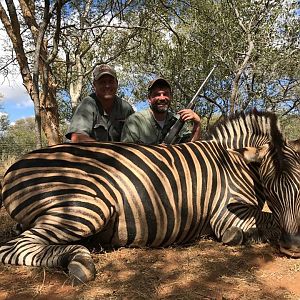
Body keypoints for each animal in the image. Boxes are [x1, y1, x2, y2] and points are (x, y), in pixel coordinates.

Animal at [0, 110, 298, 284]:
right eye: (271, 189)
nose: (292, 247)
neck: (234, 161)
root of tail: (14, 166)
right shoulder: (225, 215)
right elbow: (264, 222)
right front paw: (246, 236)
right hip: (88, 207)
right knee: (14, 247)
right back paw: (78, 260)